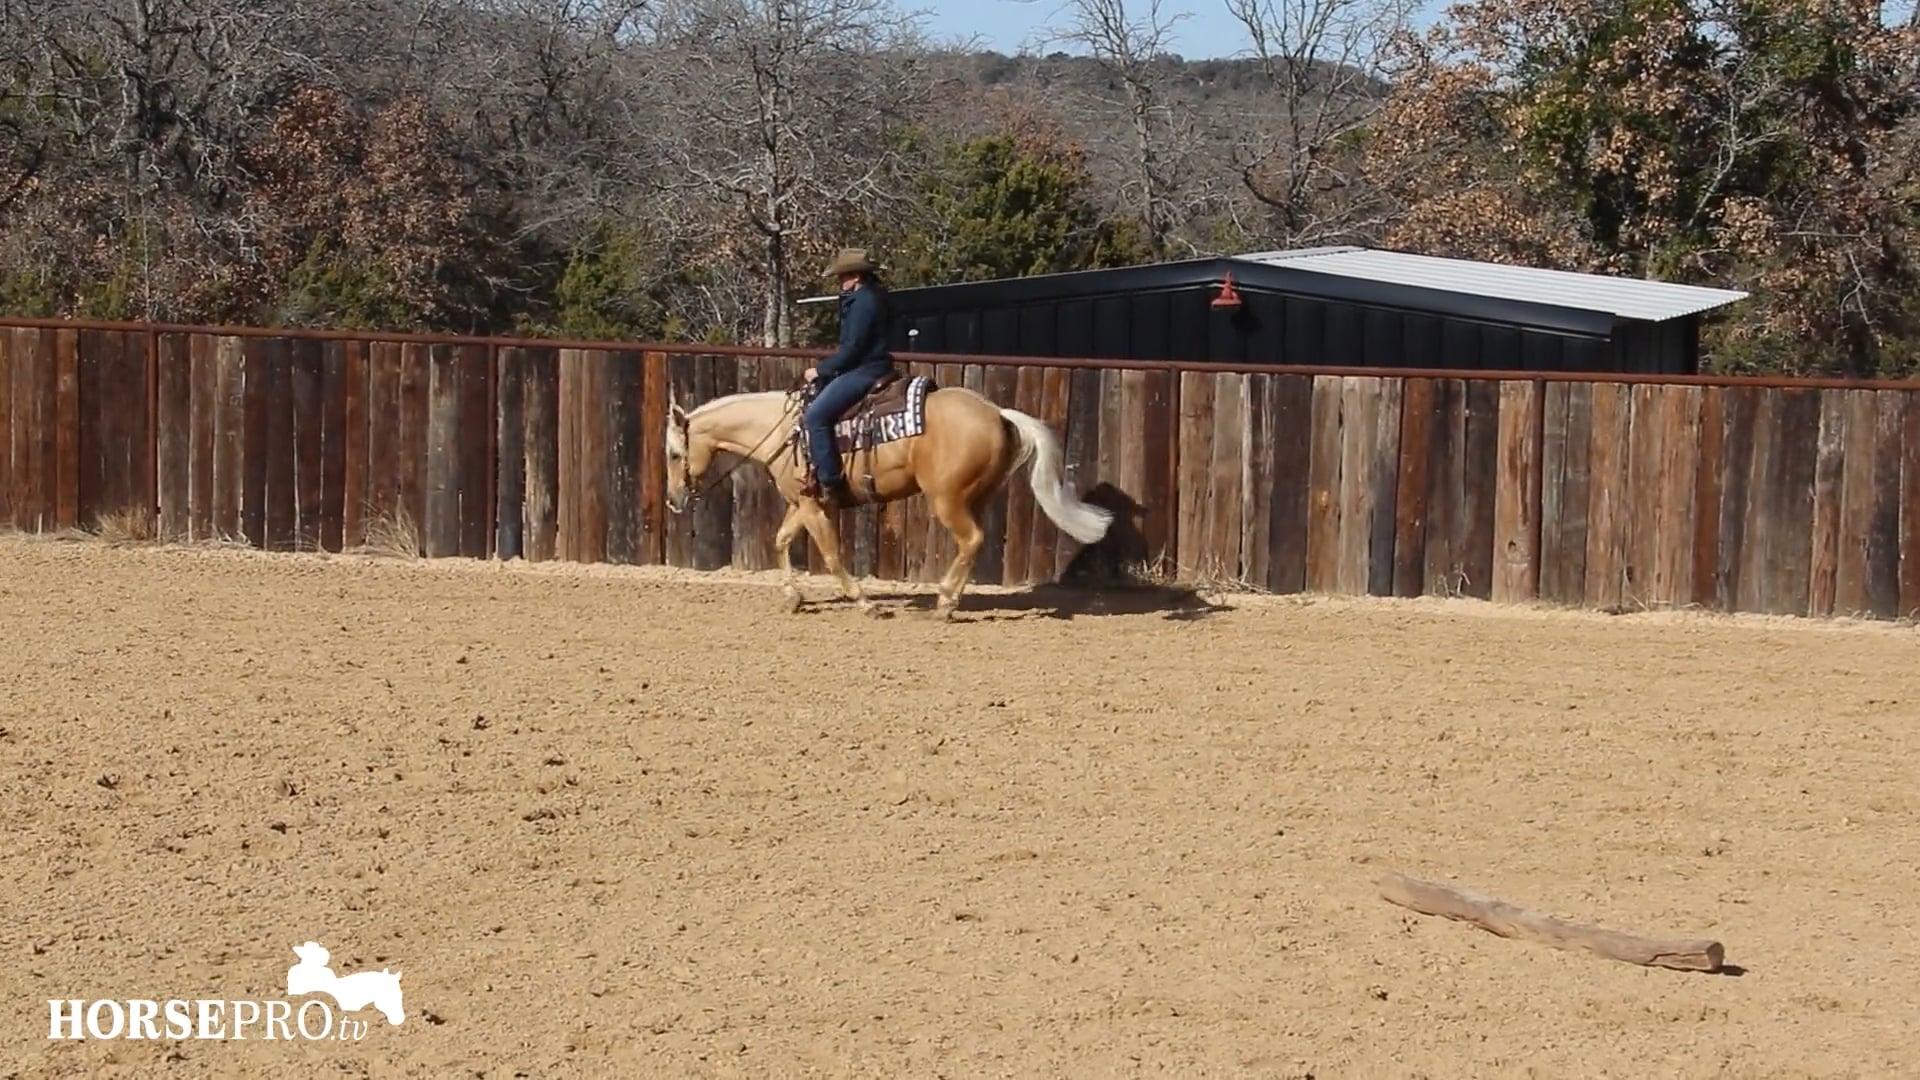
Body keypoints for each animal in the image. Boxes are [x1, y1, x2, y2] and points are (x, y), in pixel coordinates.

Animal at [663, 374, 1112, 619]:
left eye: (673, 453)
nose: (673, 500)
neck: (784, 430)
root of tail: (997, 413)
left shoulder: (813, 505)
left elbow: (831, 554)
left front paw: (866, 603)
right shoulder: (803, 503)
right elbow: (781, 539)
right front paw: (793, 597)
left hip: (947, 500)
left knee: (971, 540)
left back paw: (944, 602)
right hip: (976, 496)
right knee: (973, 544)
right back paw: (950, 598)